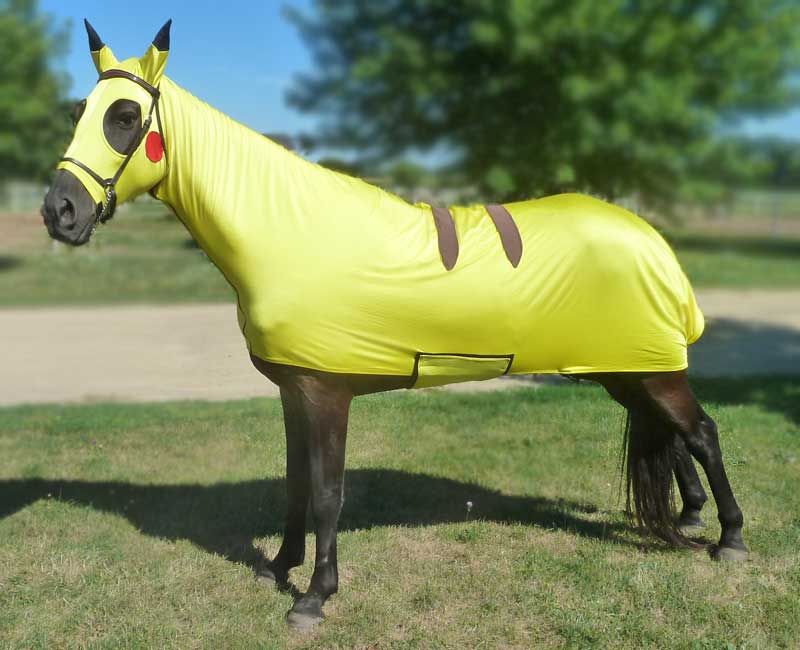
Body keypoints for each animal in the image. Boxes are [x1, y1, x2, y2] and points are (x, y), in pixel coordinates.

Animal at [41, 20, 748, 631]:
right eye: (80, 111)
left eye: (125, 117)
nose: (60, 212)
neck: (289, 230)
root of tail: (649, 238)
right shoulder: (294, 392)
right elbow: (296, 485)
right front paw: (280, 566)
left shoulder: (326, 393)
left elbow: (327, 493)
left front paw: (315, 598)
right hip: (626, 369)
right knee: (670, 434)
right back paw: (688, 520)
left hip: (647, 370)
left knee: (702, 434)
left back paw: (730, 539)